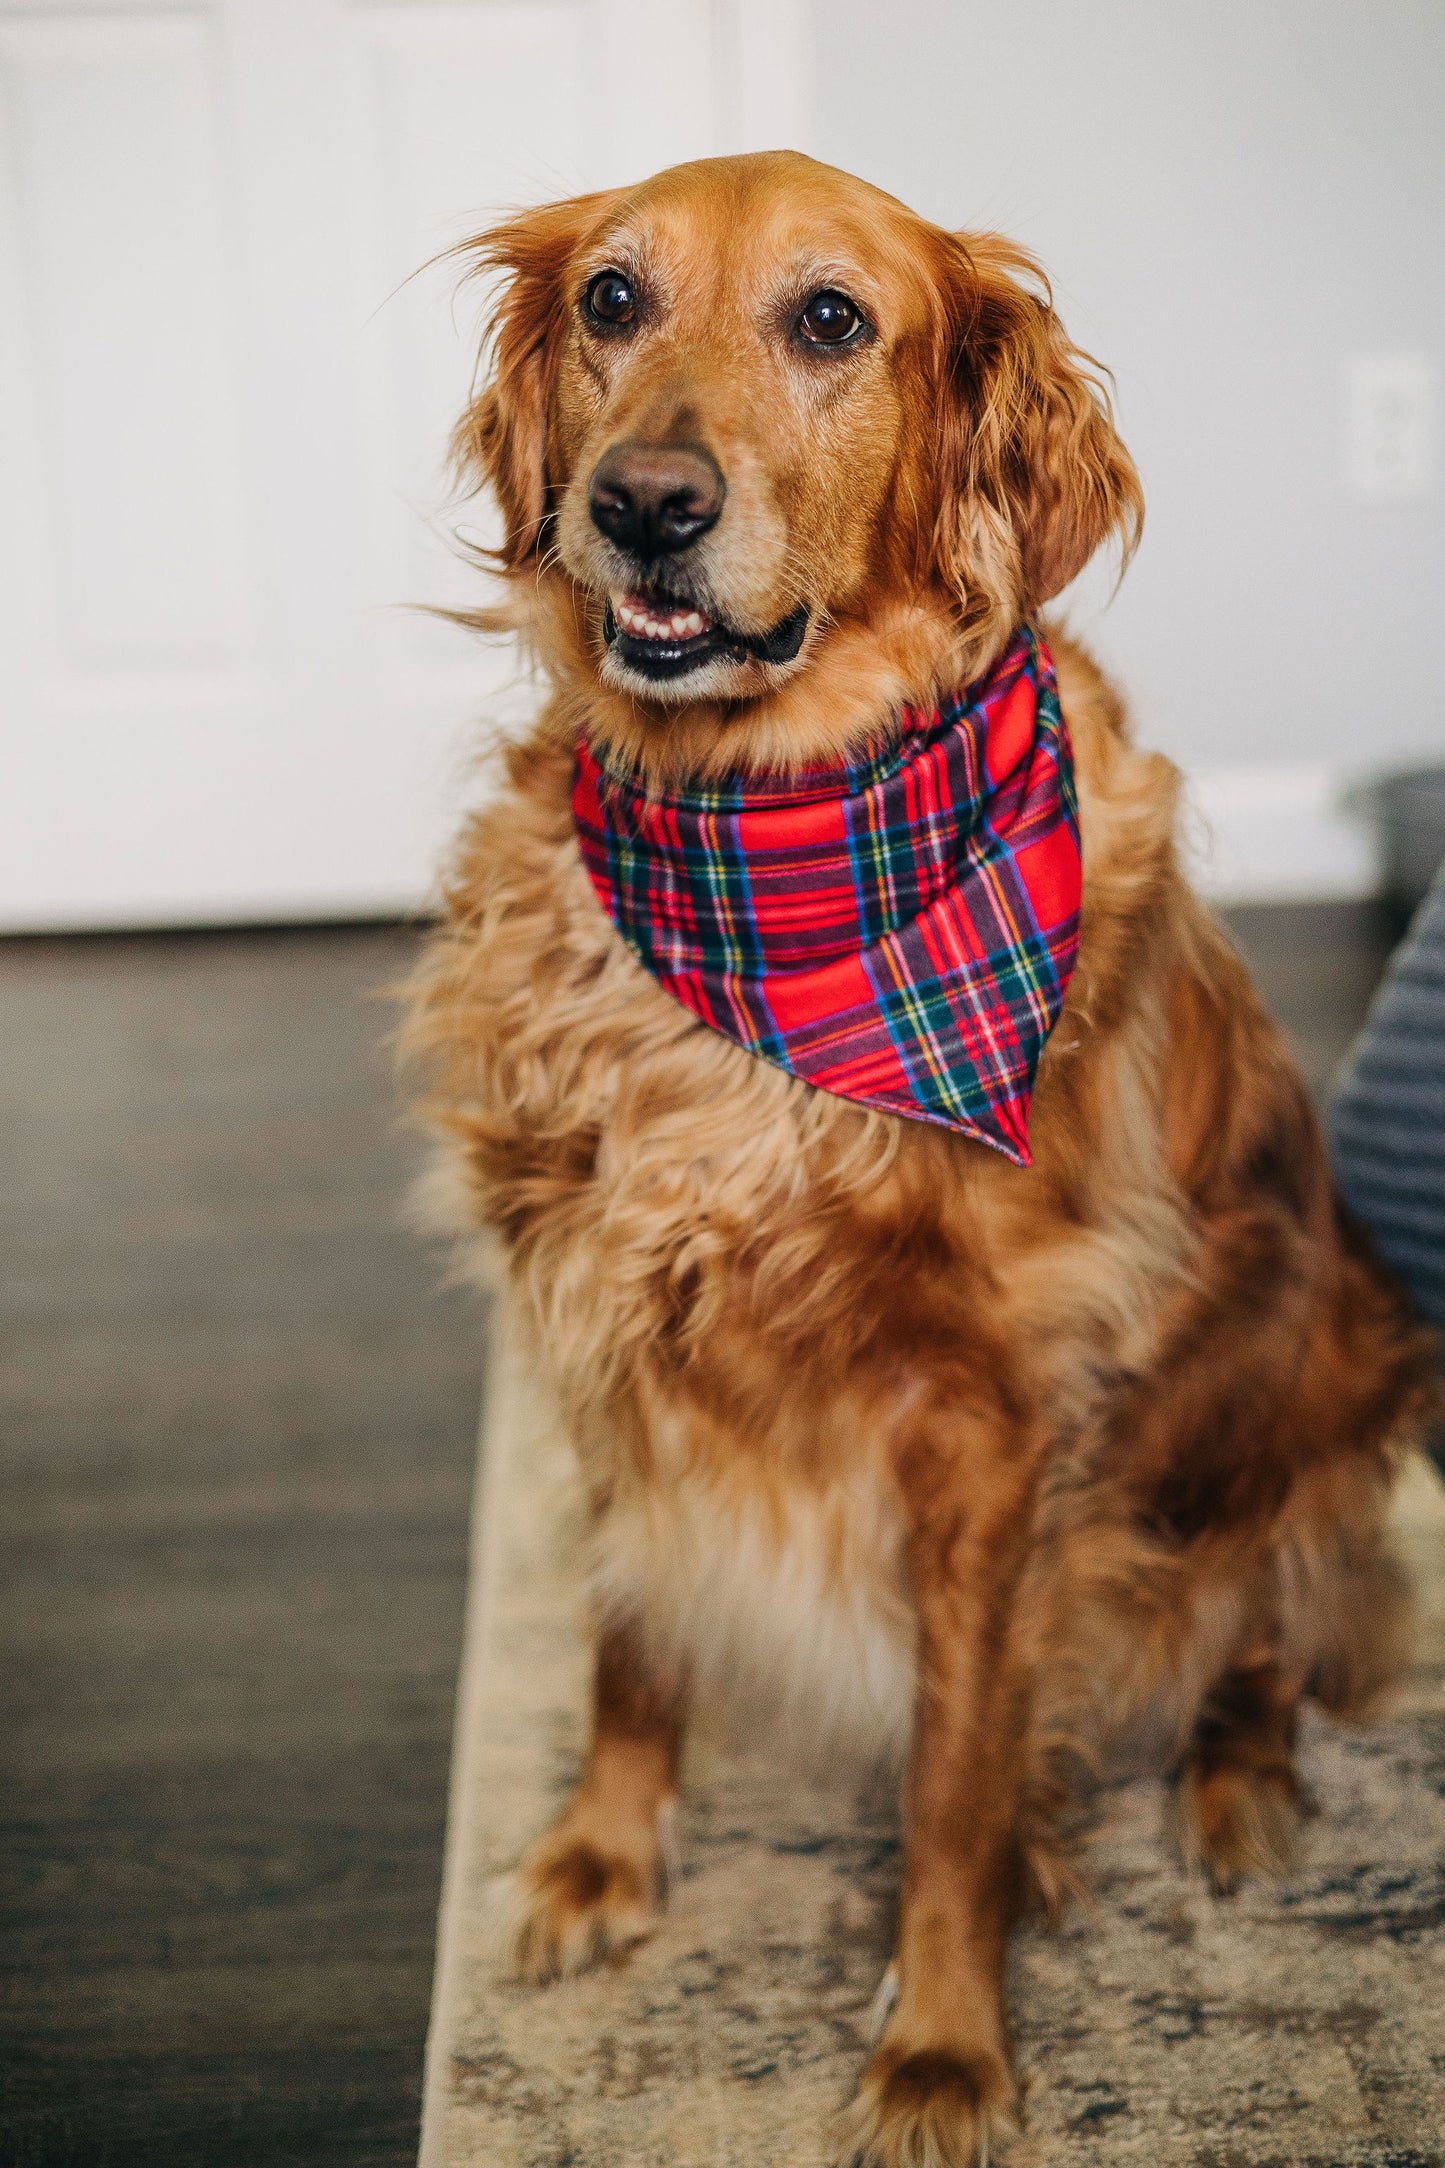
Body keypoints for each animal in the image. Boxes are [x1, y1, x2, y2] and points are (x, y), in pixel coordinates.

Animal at [407, 157, 1438, 2168]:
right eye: (614, 298)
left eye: (831, 321)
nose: (642, 504)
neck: (765, 838)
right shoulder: (599, 1312)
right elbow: (627, 1625)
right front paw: (599, 1852)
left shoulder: (991, 1433)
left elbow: (956, 1774)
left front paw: (944, 2042)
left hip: (1310, 1369)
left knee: (1273, 1618)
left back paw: (1236, 1790)